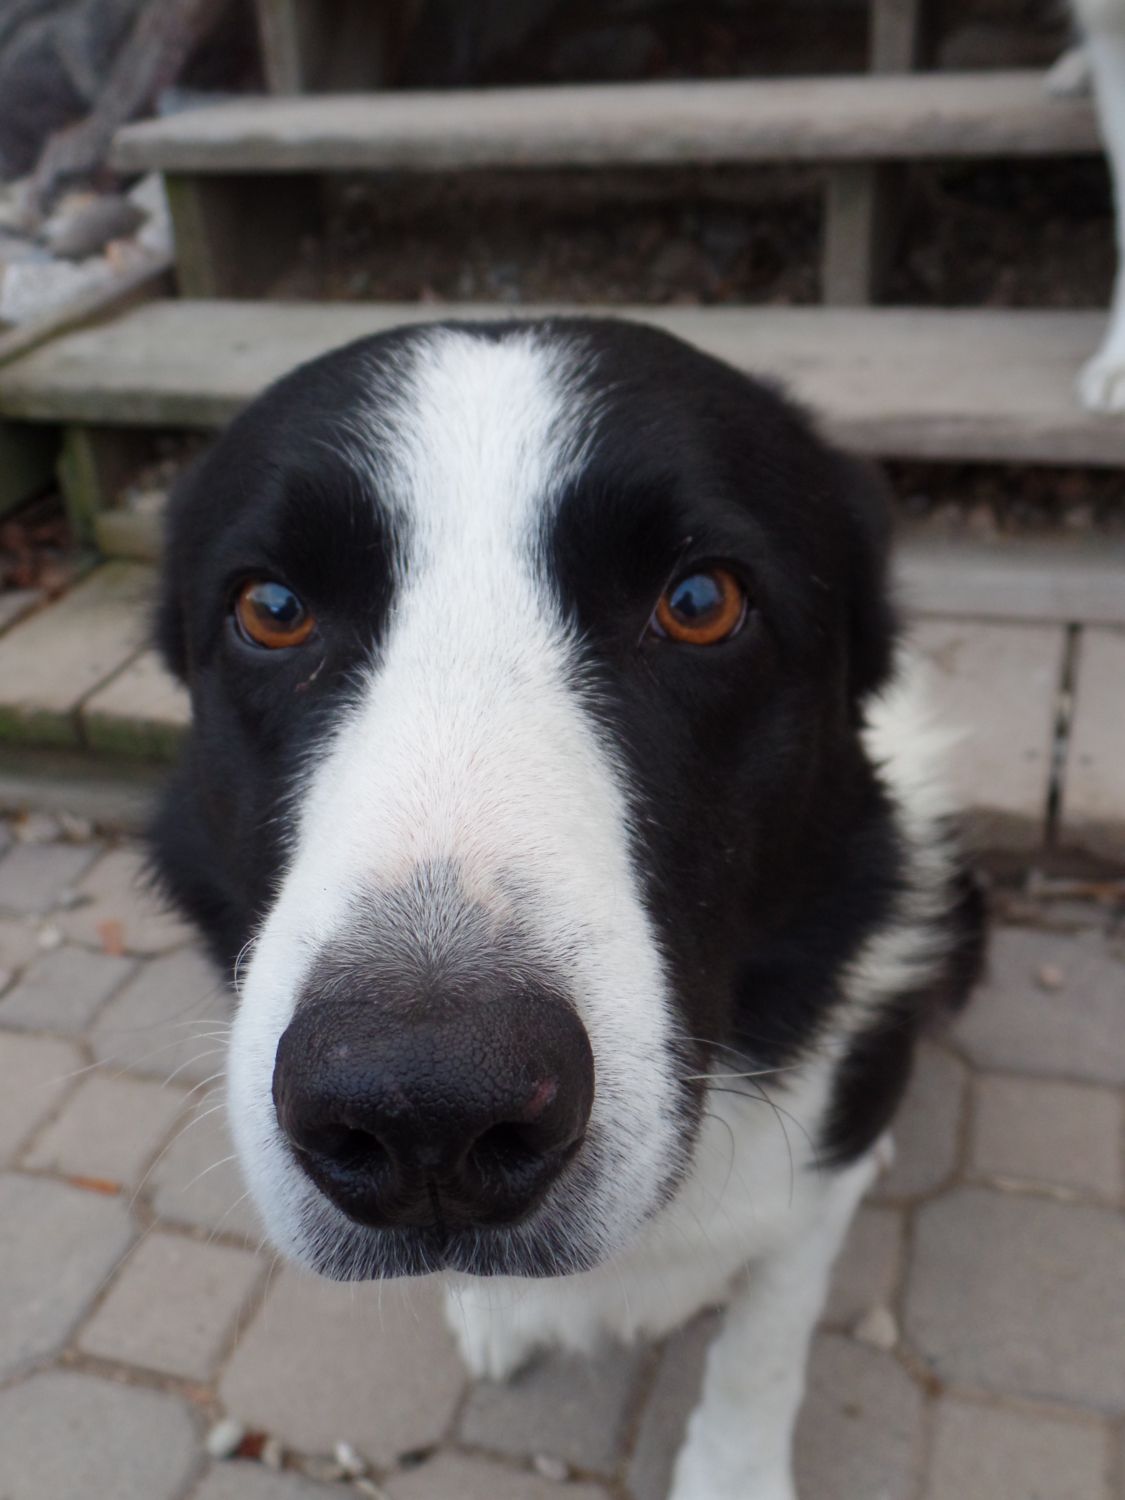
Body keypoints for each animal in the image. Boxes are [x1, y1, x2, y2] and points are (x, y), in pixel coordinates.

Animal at [151, 317, 984, 1499]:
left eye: (701, 604)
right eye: (272, 612)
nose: (426, 1109)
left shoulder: (803, 1214)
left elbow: (763, 1343)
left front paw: (732, 1472)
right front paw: (499, 1313)